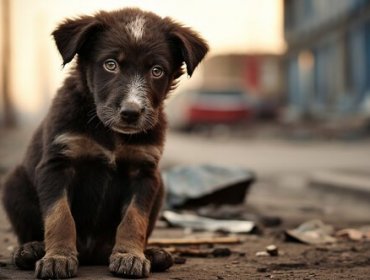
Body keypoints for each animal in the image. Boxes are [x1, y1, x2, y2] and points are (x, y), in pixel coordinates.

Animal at [0, 7, 208, 278]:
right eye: (111, 65)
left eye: (157, 70)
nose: (131, 113)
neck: (110, 133)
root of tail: (92, 253)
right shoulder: (57, 164)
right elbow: (60, 216)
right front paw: (58, 257)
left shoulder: (144, 171)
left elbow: (134, 218)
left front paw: (130, 255)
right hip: (13, 183)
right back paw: (31, 249)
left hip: (161, 186)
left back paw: (153, 253)